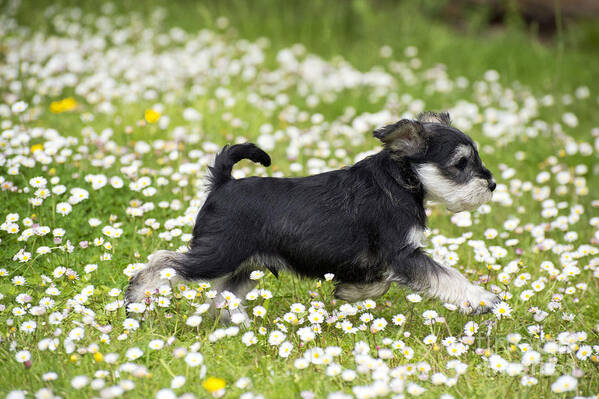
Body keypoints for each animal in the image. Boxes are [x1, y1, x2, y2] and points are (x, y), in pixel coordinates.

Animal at [126, 111, 502, 322]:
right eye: (461, 164)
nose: (491, 184)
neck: (400, 180)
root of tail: (222, 183)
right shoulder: (403, 254)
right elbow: (446, 276)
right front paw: (482, 298)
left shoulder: (389, 259)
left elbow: (378, 282)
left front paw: (349, 292)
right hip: (219, 254)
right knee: (161, 263)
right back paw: (136, 300)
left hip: (247, 265)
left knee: (223, 293)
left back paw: (242, 325)